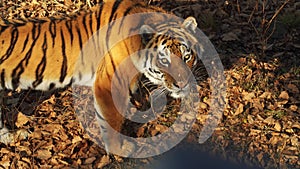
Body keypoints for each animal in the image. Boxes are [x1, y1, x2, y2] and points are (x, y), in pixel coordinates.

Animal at [0, 0, 204, 156]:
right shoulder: (109, 84)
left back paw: (12, 136)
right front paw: (119, 150)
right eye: (164, 60)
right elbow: (112, 120)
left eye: (187, 56)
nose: (182, 84)